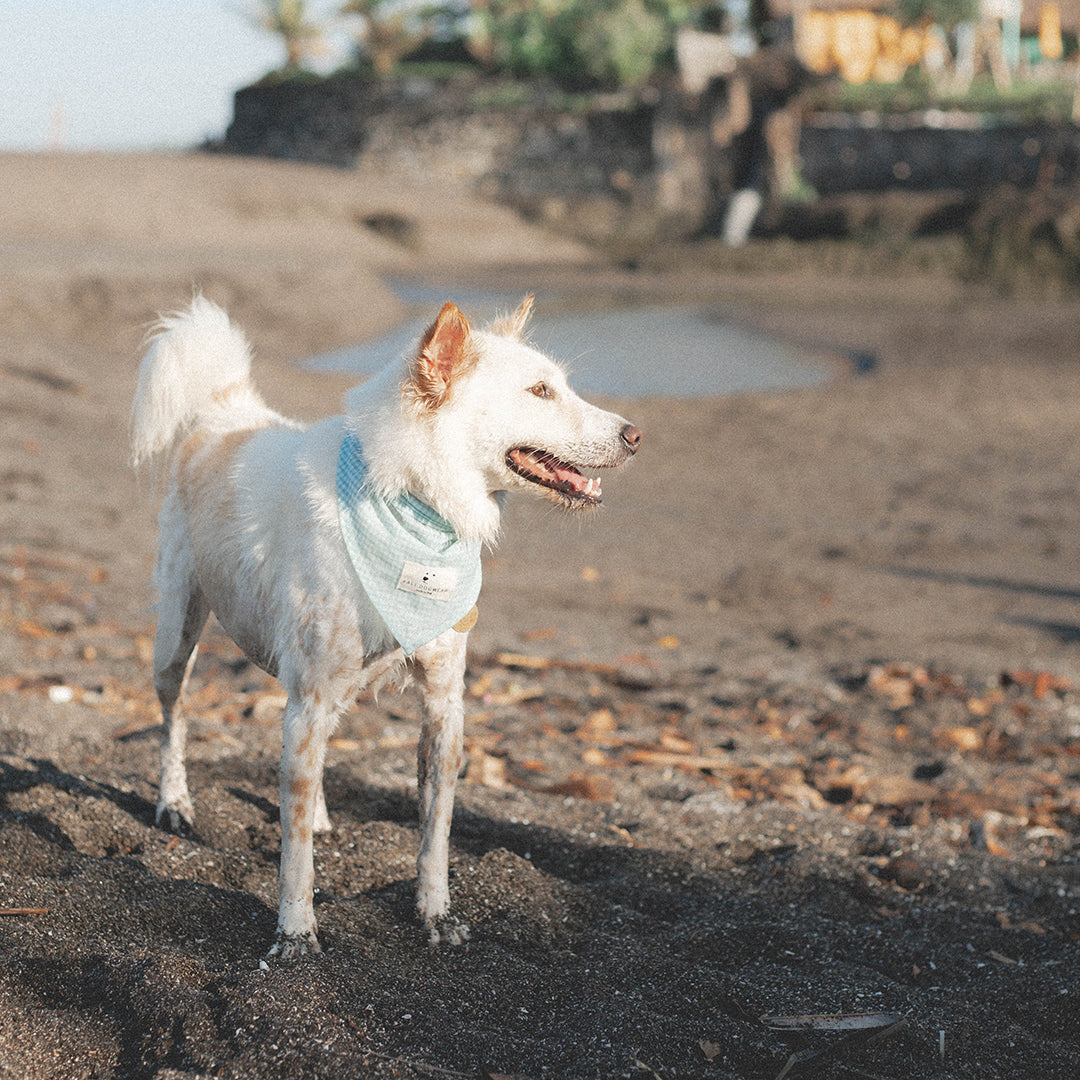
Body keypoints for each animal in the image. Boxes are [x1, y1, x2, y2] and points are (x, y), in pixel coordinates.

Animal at [133, 293, 639, 954]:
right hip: (178, 637)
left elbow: (434, 834)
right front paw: (295, 934)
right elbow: (294, 853)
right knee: (175, 718)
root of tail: (227, 410)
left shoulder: (443, 708)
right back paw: (175, 803)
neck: (413, 505)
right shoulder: (311, 696)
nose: (636, 435)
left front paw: (435, 914)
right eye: (540, 391)